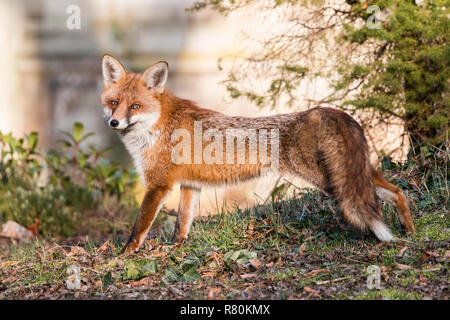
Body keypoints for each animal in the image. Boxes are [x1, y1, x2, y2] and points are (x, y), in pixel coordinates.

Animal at [99, 55, 414, 255]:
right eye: (114, 103)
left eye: (135, 106)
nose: (113, 123)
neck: (158, 126)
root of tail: (323, 111)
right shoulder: (190, 185)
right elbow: (182, 224)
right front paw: (176, 249)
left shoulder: (158, 185)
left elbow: (139, 227)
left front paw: (123, 255)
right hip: (350, 174)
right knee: (395, 190)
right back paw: (408, 230)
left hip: (329, 181)